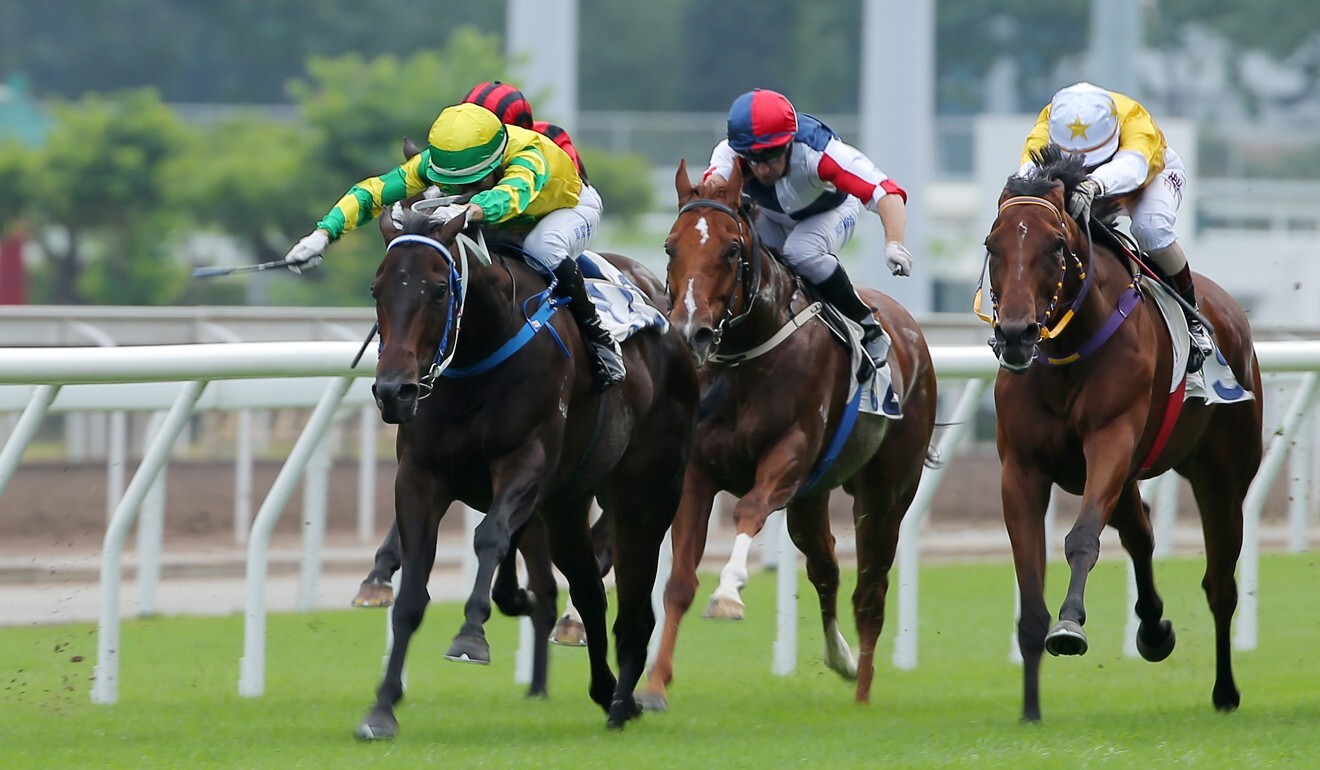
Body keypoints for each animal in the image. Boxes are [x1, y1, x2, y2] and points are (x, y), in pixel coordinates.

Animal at [351, 206, 702, 739]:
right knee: (589, 592)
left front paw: (471, 635)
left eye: (438, 289)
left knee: (635, 608)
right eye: (377, 288)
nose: (395, 391)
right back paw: (606, 690)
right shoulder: (419, 475)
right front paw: (382, 707)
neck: (475, 357)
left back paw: (624, 702)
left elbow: (492, 536)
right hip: (567, 508)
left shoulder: (526, 460)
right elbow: (411, 592)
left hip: (647, 495)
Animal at [636, 161, 939, 713]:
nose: (691, 332)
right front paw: (654, 686)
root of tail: (911, 331)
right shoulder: (698, 472)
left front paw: (728, 594)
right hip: (810, 499)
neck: (747, 353)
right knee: (825, 567)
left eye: (731, 250)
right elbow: (679, 581)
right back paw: (841, 659)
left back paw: (862, 692)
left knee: (870, 590)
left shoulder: (789, 455)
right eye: (670, 247)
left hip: (884, 496)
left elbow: (750, 510)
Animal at [987, 144, 1261, 723]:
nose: (1017, 334)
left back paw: (1225, 691)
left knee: (1220, 584)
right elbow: (1030, 580)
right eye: (991, 245)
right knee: (1141, 534)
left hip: (1221, 477)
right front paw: (1030, 708)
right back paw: (1154, 630)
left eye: (1055, 246)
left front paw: (1070, 626)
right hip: (1132, 475)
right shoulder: (1021, 468)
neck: (1068, 351)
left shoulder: (1111, 440)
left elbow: (1082, 538)